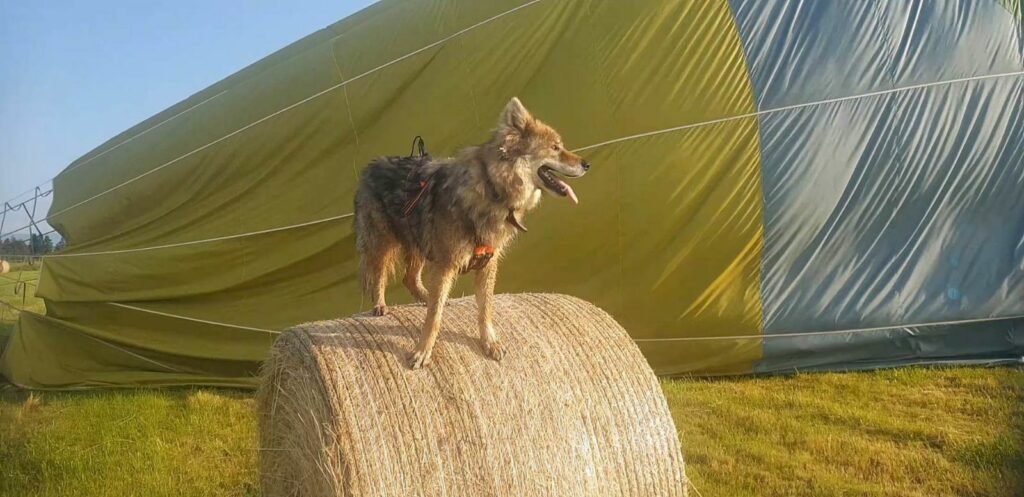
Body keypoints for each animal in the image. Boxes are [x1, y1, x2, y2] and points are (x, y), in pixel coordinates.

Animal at [353, 97, 590, 369]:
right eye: (555, 147)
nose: (587, 164)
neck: (492, 189)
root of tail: (371, 166)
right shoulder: (446, 264)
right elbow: (433, 318)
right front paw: (423, 351)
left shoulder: (487, 263)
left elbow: (485, 309)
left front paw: (490, 343)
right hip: (383, 243)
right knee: (378, 275)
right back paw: (380, 305)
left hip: (419, 242)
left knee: (410, 278)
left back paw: (426, 296)